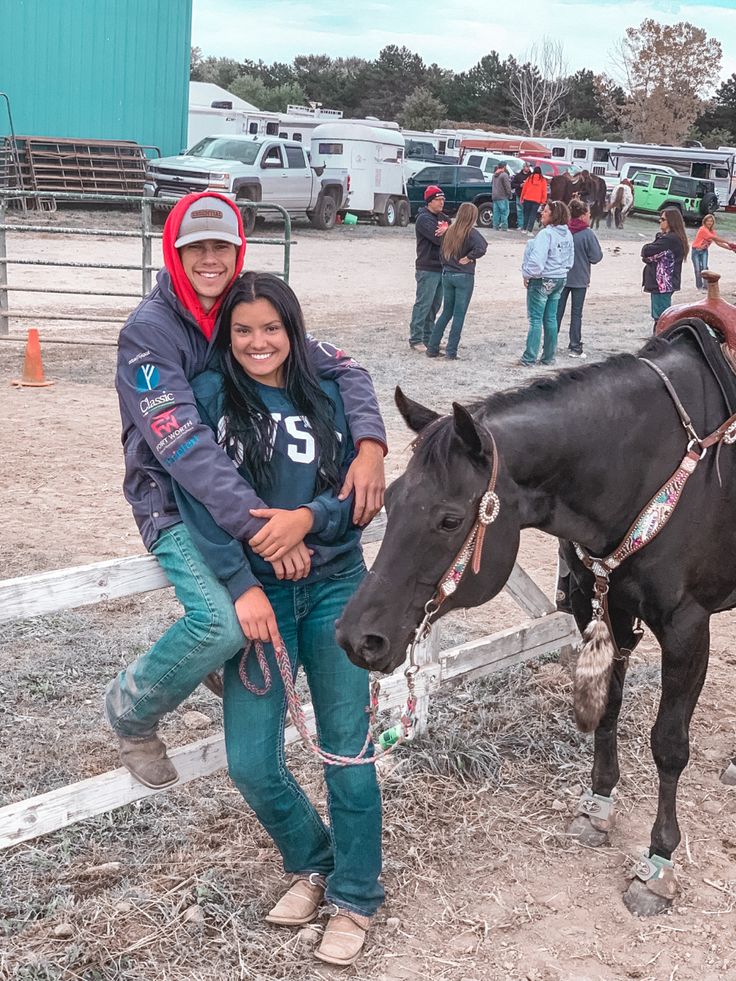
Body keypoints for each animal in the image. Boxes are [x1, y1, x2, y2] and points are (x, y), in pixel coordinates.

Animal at [338, 326, 736, 916]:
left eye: (450, 520)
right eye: (388, 497)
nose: (355, 638)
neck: (644, 466)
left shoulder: (687, 628)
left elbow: (668, 743)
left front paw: (658, 861)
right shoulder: (605, 606)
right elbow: (607, 710)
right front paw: (597, 807)